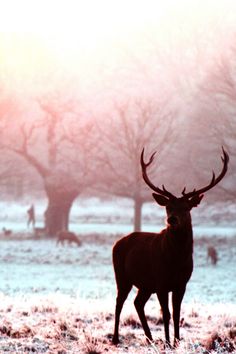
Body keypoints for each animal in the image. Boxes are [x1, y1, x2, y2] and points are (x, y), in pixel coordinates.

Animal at [112, 146, 229, 346]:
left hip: (145, 284)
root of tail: (116, 243)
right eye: (168, 207)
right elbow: (165, 314)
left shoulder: (181, 283)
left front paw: (176, 341)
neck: (176, 260)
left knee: (137, 302)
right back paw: (115, 338)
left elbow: (176, 314)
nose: (172, 219)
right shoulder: (161, 282)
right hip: (122, 275)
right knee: (120, 302)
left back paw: (150, 338)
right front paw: (167, 342)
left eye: (186, 207)